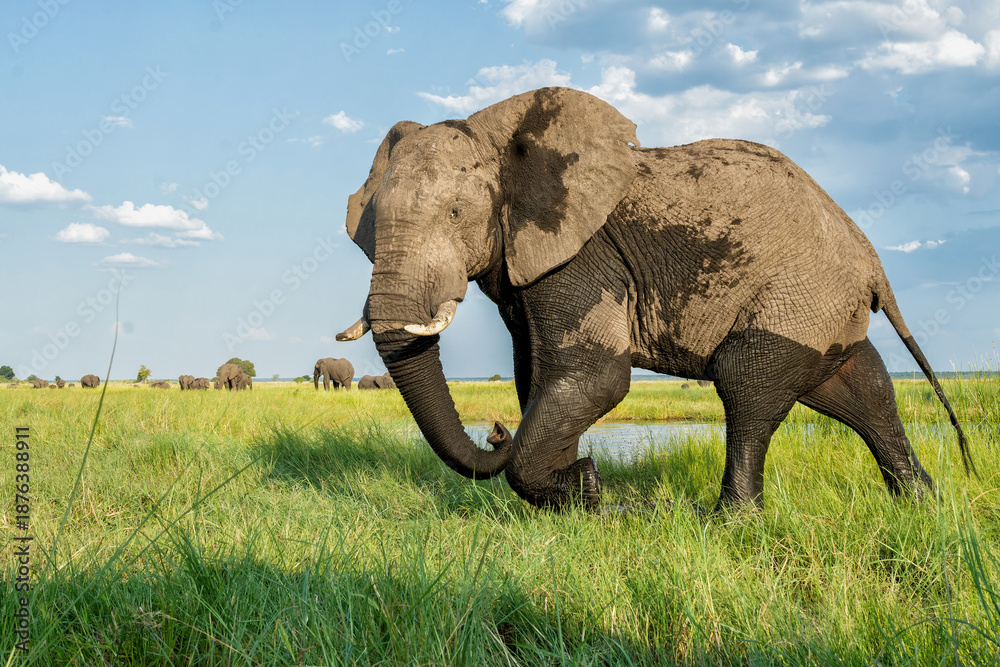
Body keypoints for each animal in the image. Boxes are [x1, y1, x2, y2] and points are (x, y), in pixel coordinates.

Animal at [336, 86, 972, 512]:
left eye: (455, 214)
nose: (494, 430)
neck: (503, 137)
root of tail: (870, 258)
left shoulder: (583, 253)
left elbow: (594, 377)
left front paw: (585, 488)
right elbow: (536, 375)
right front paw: (578, 494)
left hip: (800, 291)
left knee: (748, 382)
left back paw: (728, 522)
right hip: (823, 306)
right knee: (860, 387)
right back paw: (922, 505)